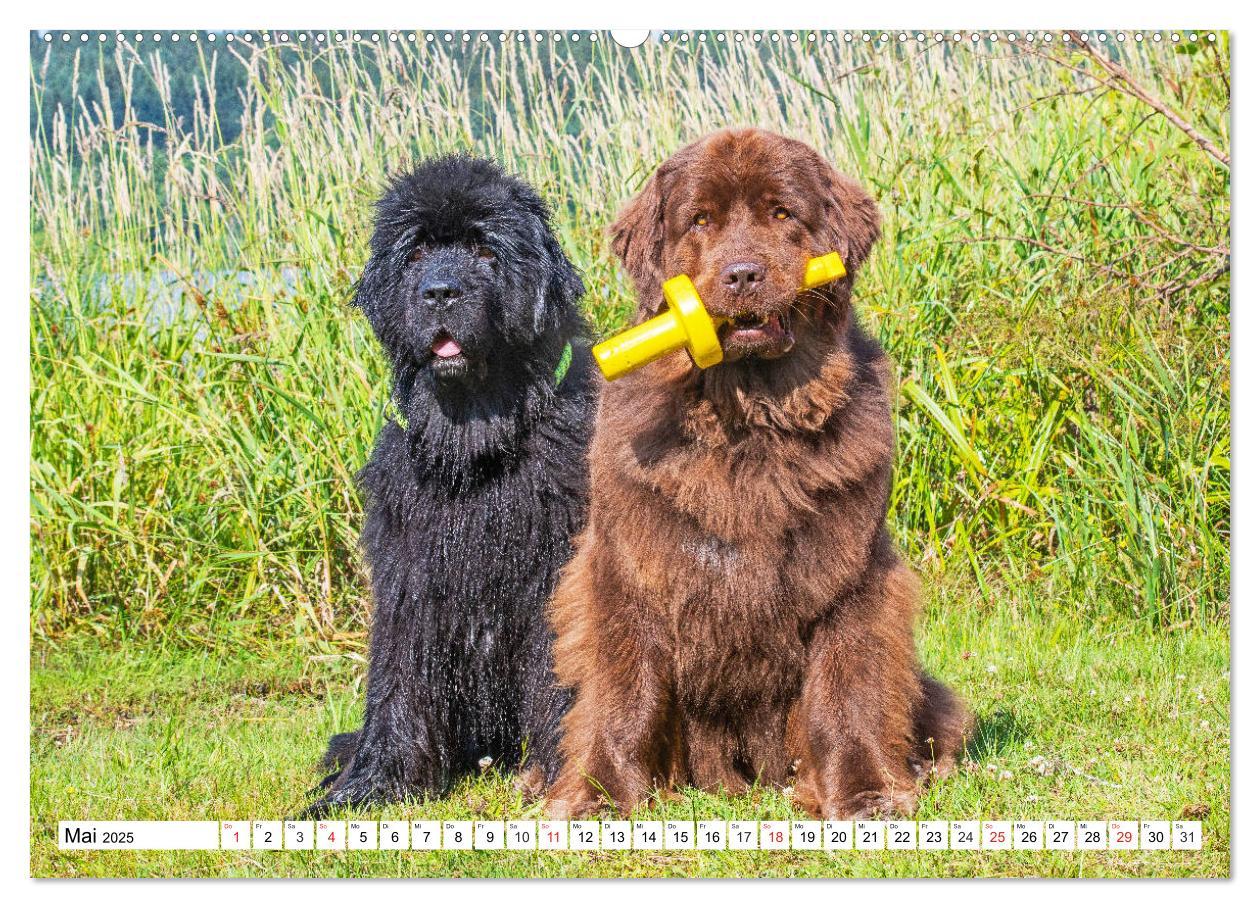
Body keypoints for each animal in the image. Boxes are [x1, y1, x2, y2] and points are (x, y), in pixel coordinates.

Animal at [307, 156, 597, 816]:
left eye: (485, 249)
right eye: (415, 253)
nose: (440, 290)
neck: (474, 446)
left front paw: (562, 780)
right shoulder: (408, 579)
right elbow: (398, 686)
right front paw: (367, 788)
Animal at [546, 124, 967, 816]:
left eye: (782, 213)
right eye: (700, 220)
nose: (742, 274)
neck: (747, 425)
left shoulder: (852, 576)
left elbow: (847, 692)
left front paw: (867, 793)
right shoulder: (627, 568)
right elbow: (623, 693)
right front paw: (599, 797)